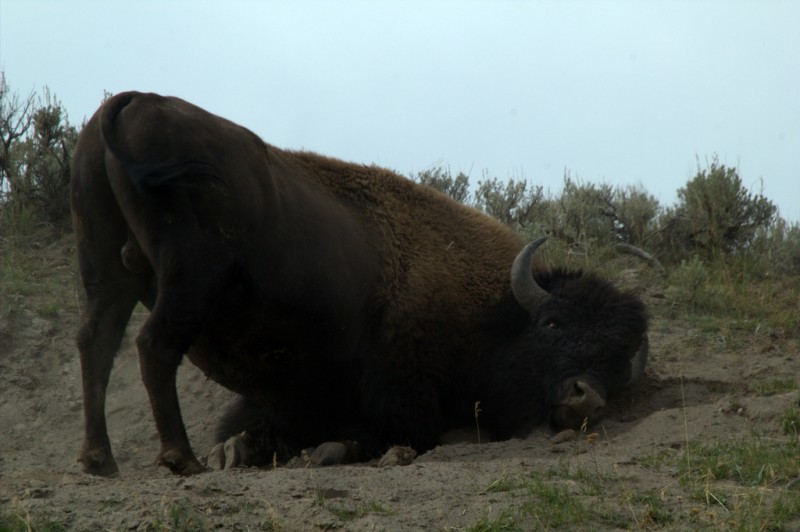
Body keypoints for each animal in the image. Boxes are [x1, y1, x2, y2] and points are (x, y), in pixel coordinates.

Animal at [70, 91, 648, 478]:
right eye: (552, 323)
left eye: (620, 359)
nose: (586, 399)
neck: (495, 308)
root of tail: (135, 100)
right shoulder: (401, 396)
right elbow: (394, 432)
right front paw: (271, 452)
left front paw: (248, 450)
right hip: (190, 278)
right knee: (153, 347)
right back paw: (182, 459)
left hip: (107, 272)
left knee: (96, 343)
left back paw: (101, 460)